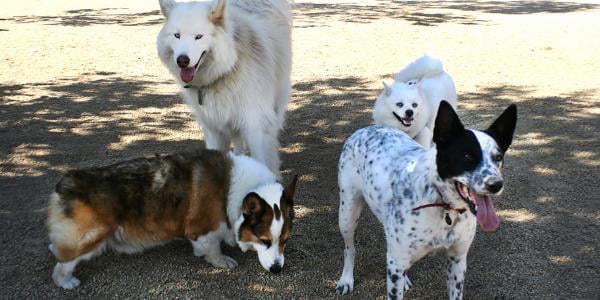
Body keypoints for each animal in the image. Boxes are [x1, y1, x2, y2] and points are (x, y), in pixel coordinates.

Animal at [47, 150, 298, 288]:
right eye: (264, 240)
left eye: (285, 240)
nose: (278, 270)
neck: (234, 190)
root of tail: (64, 186)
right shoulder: (204, 230)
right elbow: (212, 248)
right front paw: (221, 261)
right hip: (92, 237)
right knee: (63, 263)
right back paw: (66, 282)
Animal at [157, 0, 292, 175]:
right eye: (177, 35)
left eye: (198, 36)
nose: (182, 60)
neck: (227, 70)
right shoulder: (214, 128)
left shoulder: (255, 125)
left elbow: (262, 161)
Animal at [336, 101, 516, 300]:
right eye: (467, 156)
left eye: (498, 157)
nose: (496, 184)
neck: (444, 205)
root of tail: (368, 128)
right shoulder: (395, 263)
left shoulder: (457, 260)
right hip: (347, 215)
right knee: (349, 248)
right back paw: (346, 279)